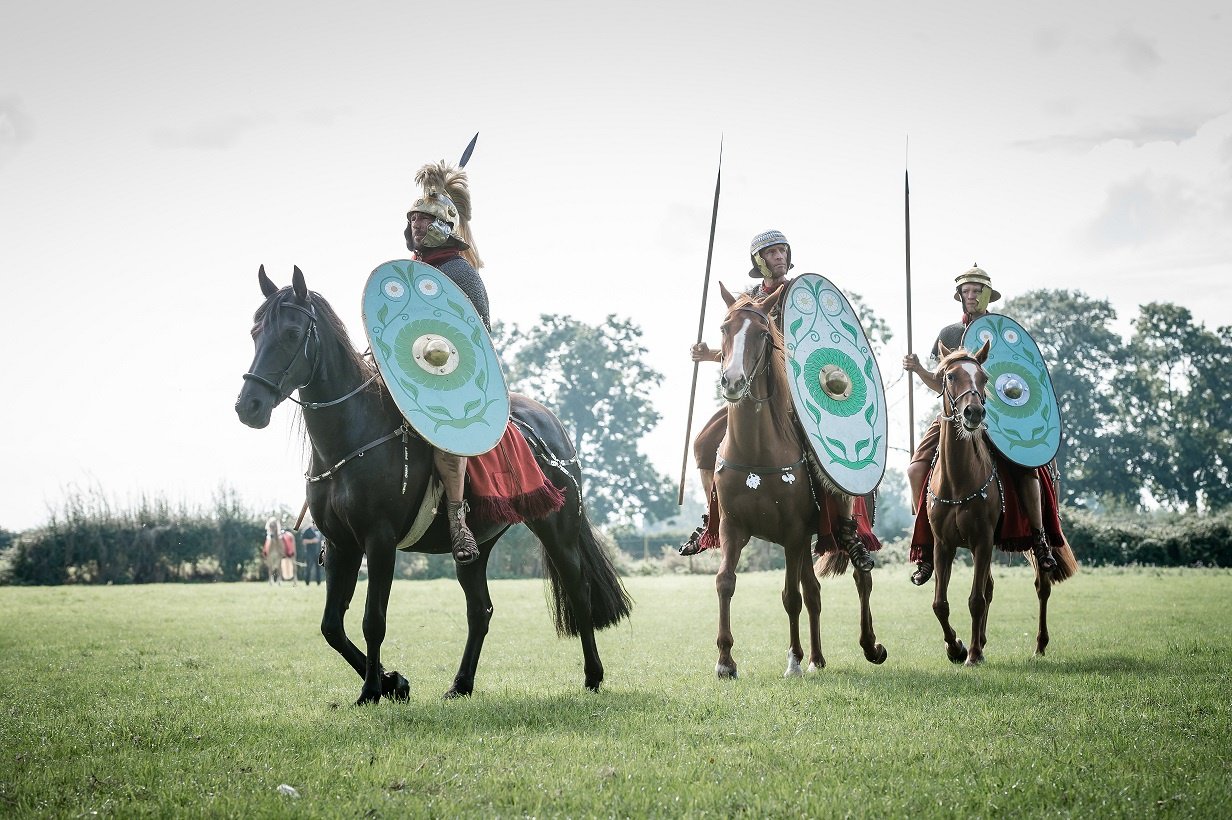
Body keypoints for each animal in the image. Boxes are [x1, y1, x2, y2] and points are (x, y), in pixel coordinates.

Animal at [234, 267, 630, 704]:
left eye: (291, 332)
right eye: (255, 333)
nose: (248, 406)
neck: (354, 434)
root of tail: (554, 427)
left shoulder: (379, 541)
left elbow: (373, 620)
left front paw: (373, 690)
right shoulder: (341, 545)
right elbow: (331, 626)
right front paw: (392, 681)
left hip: (557, 529)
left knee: (578, 591)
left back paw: (592, 676)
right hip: (479, 546)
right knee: (480, 610)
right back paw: (461, 684)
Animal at [709, 284, 882, 679]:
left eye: (761, 333)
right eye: (725, 328)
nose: (732, 381)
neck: (757, 451)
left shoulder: (792, 533)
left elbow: (791, 596)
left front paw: (793, 661)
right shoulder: (732, 528)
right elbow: (726, 582)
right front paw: (725, 661)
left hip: (836, 529)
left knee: (860, 578)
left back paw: (869, 646)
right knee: (814, 590)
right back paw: (817, 658)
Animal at [926, 339, 1074, 664]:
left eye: (983, 379)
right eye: (950, 376)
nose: (973, 413)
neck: (958, 480)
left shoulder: (982, 540)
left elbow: (976, 599)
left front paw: (972, 655)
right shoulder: (944, 544)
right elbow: (940, 603)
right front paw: (957, 647)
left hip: (1035, 536)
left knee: (1042, 585)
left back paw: (1039, 645)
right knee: (991, 587)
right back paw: (980, 640)